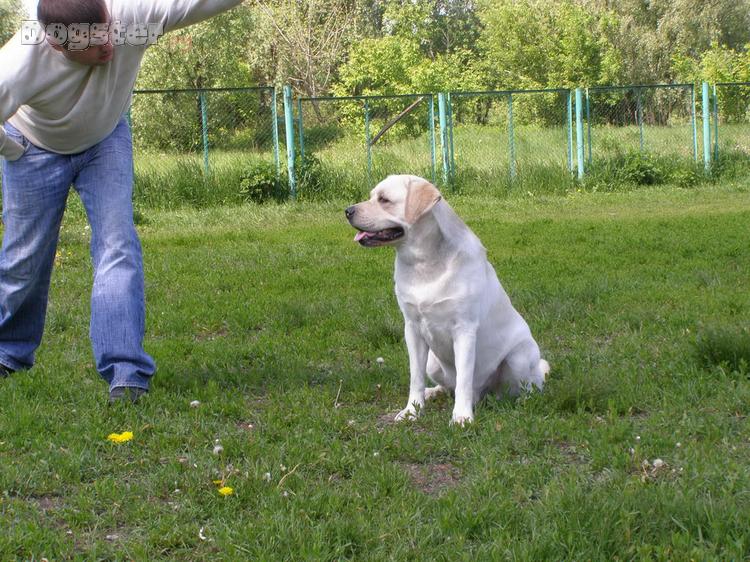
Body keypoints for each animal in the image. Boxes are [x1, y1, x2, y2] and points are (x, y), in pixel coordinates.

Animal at [346, 175, 548, 425]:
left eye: (384, 199)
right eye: (372, 196)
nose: (347, 211)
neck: (423, 262)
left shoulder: (464, 330)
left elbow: (464, 380)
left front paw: (461, 416)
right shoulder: (412, 329)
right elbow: (416, 378)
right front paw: (412, 411)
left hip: (519, 357)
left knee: (523, 387)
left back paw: (519, 401)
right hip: (433, 362)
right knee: (447, 386)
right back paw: (433, 392)